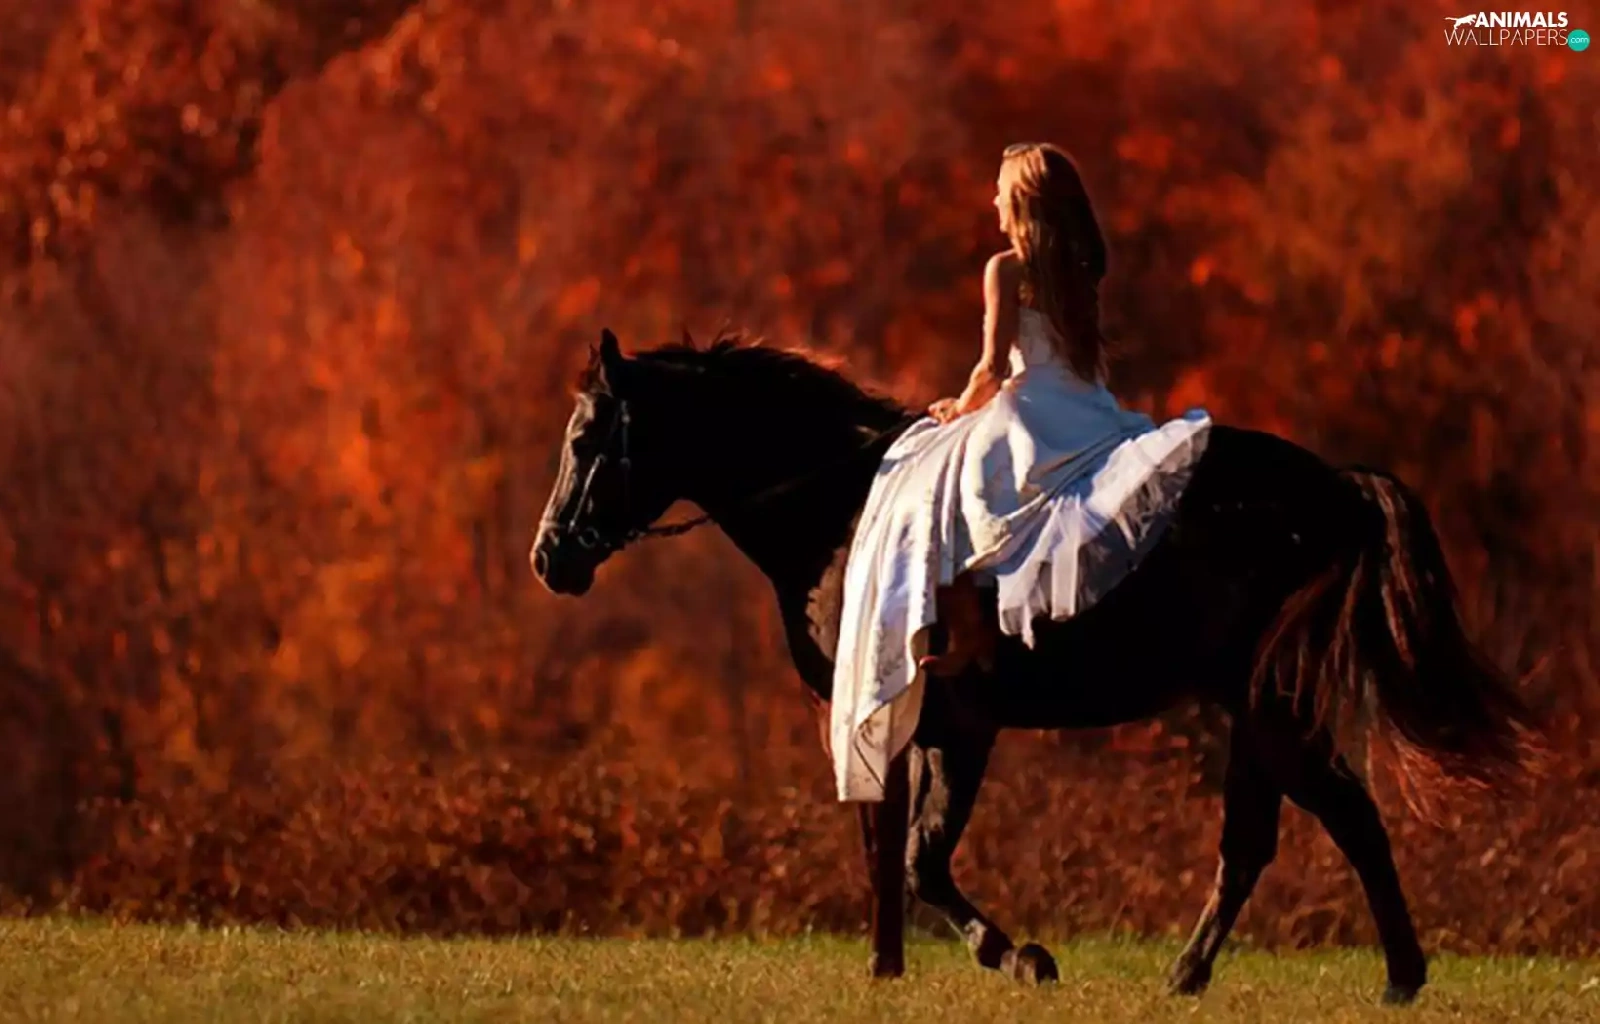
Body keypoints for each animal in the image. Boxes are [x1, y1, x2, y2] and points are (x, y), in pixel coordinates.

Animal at [530, 327, 1532, 1003]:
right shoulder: (893, 726)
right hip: (1255, 709)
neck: (843, 514)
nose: (551, 558)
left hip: (1269, 709)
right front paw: (890, 972)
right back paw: (1204, 976)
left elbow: (922, 861)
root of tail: (1334, 487)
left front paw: (1021, 957)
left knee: (1335, 820)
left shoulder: (961, 727)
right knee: (1266, 840)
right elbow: (889, 850)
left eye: (586, 440)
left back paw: (1384, 977)